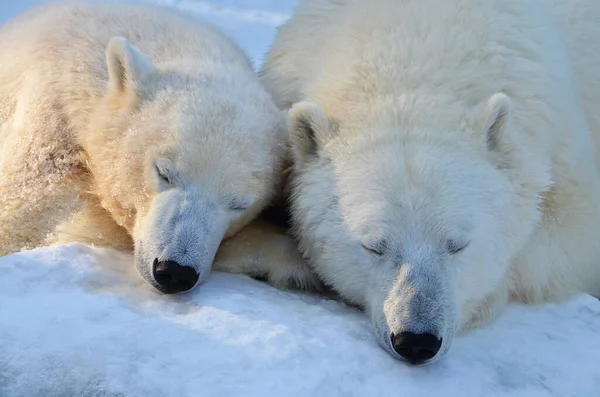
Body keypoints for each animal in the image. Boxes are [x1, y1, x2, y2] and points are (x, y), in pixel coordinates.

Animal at [0, 1, 318, 294]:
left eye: (239, 203)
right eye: (163, 172)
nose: (175, 271)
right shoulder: (50, 118)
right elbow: (37, 210)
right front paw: (289, 263)